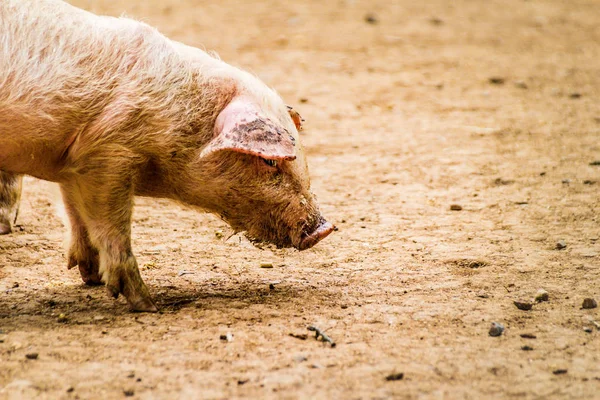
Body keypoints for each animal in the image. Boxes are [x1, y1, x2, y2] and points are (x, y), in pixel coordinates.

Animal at [0, 0, 336, 312]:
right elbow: (111, 227)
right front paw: (148, 305)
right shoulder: (105, 154)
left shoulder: (72, 160)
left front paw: (91, 278)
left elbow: (75, 214)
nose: (323, 229)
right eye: (269, 161)